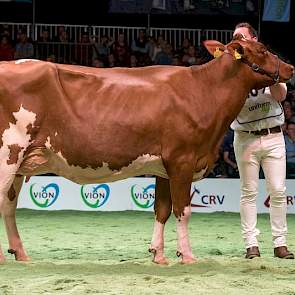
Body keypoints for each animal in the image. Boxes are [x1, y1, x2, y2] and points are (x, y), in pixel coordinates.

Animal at [0, 36, 294, 264]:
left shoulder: (164, 167)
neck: (203, 90)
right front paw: (187, 256)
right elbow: (183, 210)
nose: (290, 67)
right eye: (263, 50)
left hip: (19, 162)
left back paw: (20, 253)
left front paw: (158, 255)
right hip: (8, 154)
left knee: (9, 205)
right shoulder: (182, 161)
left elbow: (161, 210)